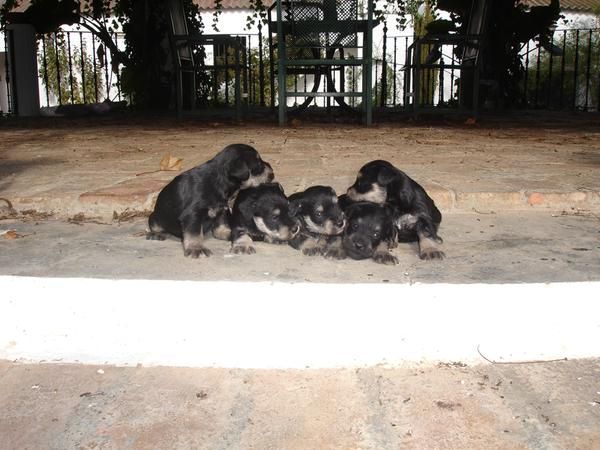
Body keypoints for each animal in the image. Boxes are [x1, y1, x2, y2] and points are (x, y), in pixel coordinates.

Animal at [146, 144, 274, 256]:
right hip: (155, 218)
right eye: (258, 164)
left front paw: (229, 233)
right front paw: (196, 248)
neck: (218, 181)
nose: (272, 173)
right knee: (155, 226)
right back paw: (156, 234)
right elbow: (194, 234)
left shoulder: (222, 210)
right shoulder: (192, 215)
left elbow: (221, 227)